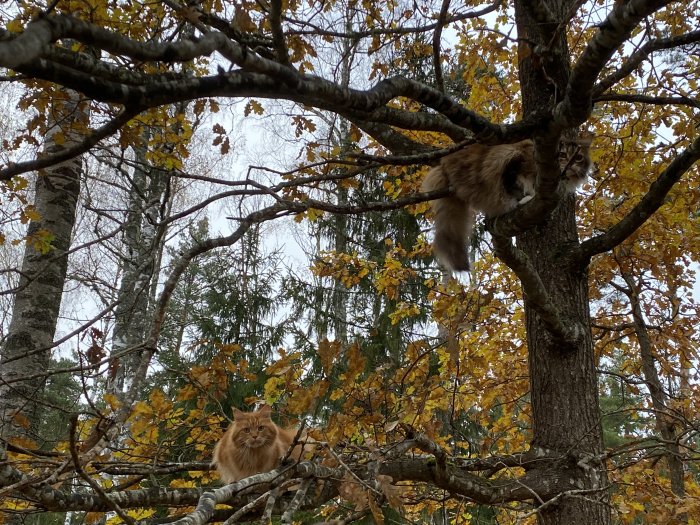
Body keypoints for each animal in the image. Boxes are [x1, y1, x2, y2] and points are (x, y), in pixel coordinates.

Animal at [422, 136, 592, 270]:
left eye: (578, 157)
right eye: (562, 155)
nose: (571, 165)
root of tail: (444, 164)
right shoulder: (522, 161)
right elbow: (522, 183)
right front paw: (526, 197)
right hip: (503, 157)